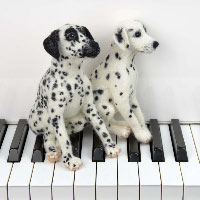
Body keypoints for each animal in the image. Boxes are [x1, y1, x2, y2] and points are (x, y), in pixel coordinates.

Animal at [28, 23, 120, 170]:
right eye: (71, 35)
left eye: (86, 33)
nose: (95, 45)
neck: (72, 77)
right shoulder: (57, 116)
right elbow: (64, 139)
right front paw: (70, 159)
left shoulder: (90, 108)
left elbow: (101, 127)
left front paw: (110, 146)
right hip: (44, 121)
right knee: (47, 137)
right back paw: (52, 151)